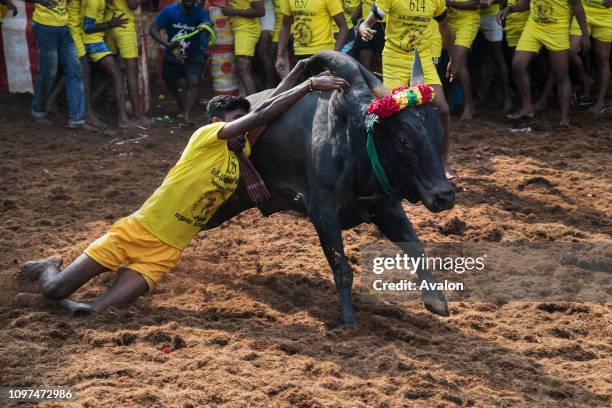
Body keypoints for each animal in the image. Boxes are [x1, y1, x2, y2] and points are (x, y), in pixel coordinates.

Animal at [206, 51, 454, 326]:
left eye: (439, 134)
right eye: (403, 140)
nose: (444, 196)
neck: (354, 138)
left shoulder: (385, 207)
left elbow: (414, 245)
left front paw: (435, 299)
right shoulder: (322, 212)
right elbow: (342, 268)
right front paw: (348, 319)